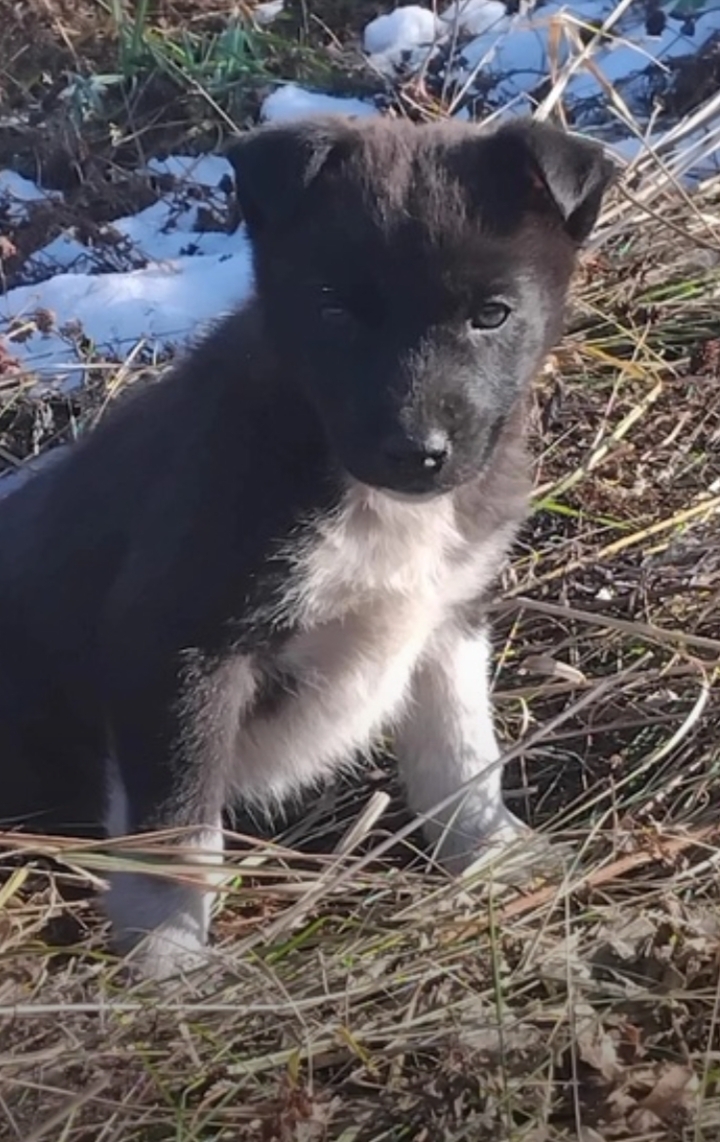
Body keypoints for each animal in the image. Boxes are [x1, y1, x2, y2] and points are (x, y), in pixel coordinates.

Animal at [0, 113, 617, 972]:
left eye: (491, 315)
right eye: (336, 311)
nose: (415, 451)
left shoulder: (450, 616)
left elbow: (461, 754)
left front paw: (495, 858)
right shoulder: (173, 644)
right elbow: (176, 831)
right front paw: (168, 957)